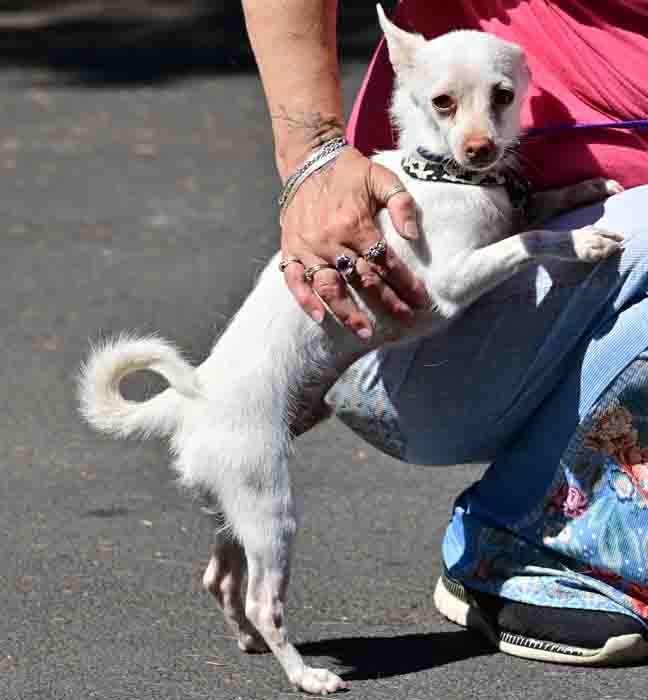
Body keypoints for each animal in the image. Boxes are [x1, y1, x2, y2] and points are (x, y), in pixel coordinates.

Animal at [78, 9, 624, 696]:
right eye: (442, 102)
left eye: (503, 96)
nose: (479, 148)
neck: (448, 176)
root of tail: (190, 401)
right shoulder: (447, 284)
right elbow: (530, 239)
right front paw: (585, 241)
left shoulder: (501, 208)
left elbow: (533, 208)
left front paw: (587, 184)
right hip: (269, 505)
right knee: (261, 597)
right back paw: (305, 674)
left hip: (232, 508)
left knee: (220, 578)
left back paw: (247, 641)